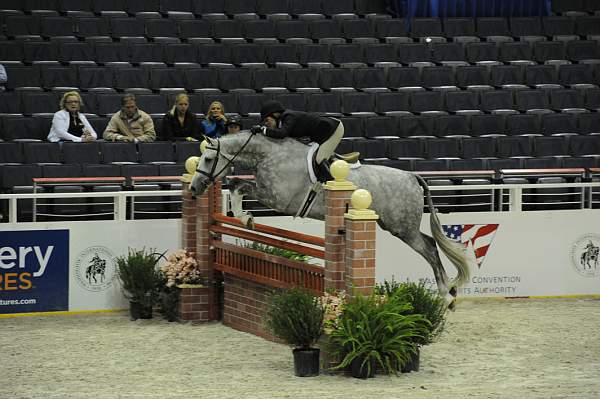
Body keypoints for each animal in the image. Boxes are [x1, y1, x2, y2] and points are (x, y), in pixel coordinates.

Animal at [190, 132, 472, 306]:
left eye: (208, 158)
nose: (194, 188)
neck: (269, 154)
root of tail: (412, 176)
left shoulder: (278, 198)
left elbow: (240, 187)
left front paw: (244, 217)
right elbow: (236, 184)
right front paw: (243, 216)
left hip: (402, 227)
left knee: (430, 248)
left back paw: (447, 297)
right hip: (398, 225)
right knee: (430, 243)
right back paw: (450, 292)